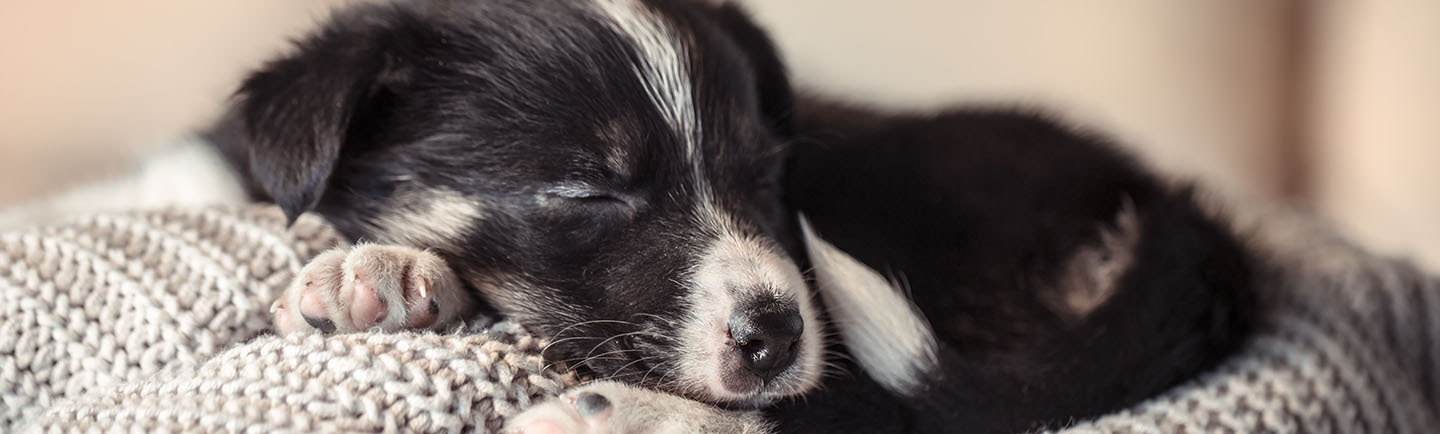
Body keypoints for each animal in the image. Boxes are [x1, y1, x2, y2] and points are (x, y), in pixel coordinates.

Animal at [208, 1, 1255, 429]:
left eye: (764, 179)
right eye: (590, 193)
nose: (779, 336)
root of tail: (1175, 211)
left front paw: (375, 271)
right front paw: (380, 270)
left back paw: (607, 415)